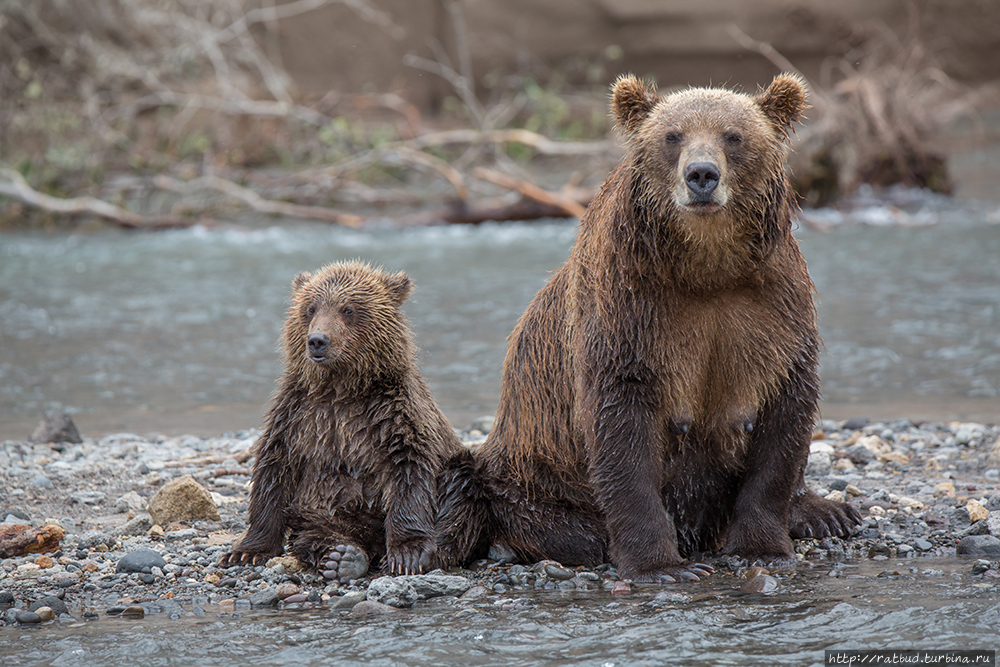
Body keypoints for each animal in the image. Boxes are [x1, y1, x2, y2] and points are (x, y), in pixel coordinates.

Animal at [436, 74, 860, 584]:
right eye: (672, 135)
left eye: (734, 136)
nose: (701, 174)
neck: (707, 267)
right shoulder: (631, 313)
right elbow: (623, 428)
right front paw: (661, 565)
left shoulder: (774, 310)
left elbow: (783, 420)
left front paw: (762, 546)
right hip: (533, 482)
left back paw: (827, 512)